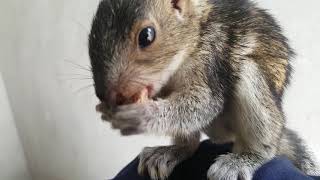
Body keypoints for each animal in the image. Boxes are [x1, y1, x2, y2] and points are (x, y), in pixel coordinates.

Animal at [88, 0, 320, 180]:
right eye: (90, 37)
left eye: (146, 35)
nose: (106, 95)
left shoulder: (211, 58)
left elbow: (204, 103)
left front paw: (141, 114)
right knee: (190, 143)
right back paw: (170, 151)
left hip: (256, 93)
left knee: (266, 145)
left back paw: (242, 160)